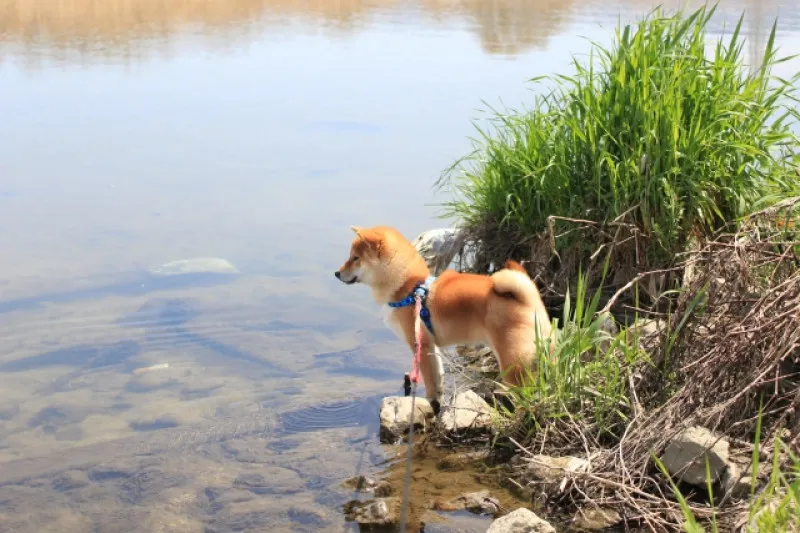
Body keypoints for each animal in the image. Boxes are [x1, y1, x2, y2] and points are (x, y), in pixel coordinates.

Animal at [334, 222, 552, 410]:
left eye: (355, 258)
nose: (336, 273)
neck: (409, 288)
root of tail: (527, 298)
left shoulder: (420, 345)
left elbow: (430, 379)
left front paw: (429, 400)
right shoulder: (431, 346)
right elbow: (437, 375)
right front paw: (436, 400)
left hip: (513, 362)